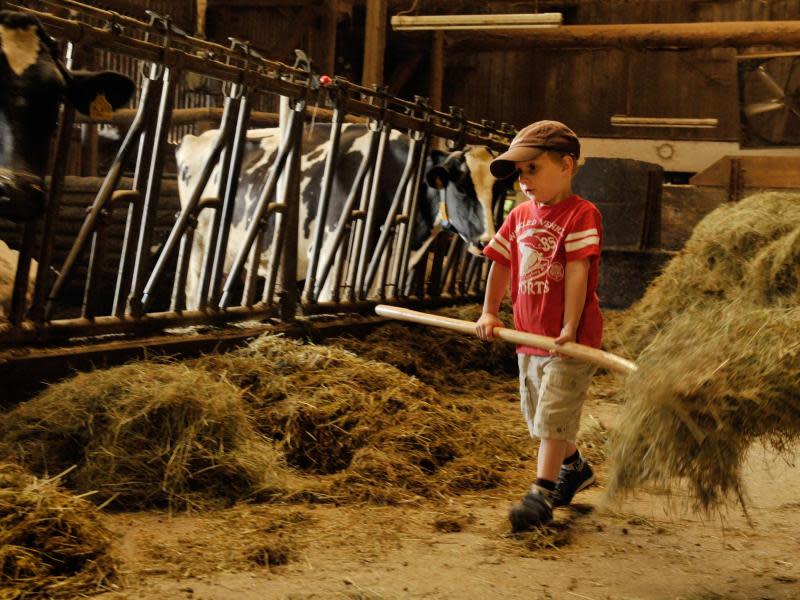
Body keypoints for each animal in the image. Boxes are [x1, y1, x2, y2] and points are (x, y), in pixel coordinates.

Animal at [177, 123, 510, 308]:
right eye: (462, 186)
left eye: (496, 191)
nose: (486, 241)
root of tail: (193, 139)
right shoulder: (331, 258)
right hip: (200, 245)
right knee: (193, 292)